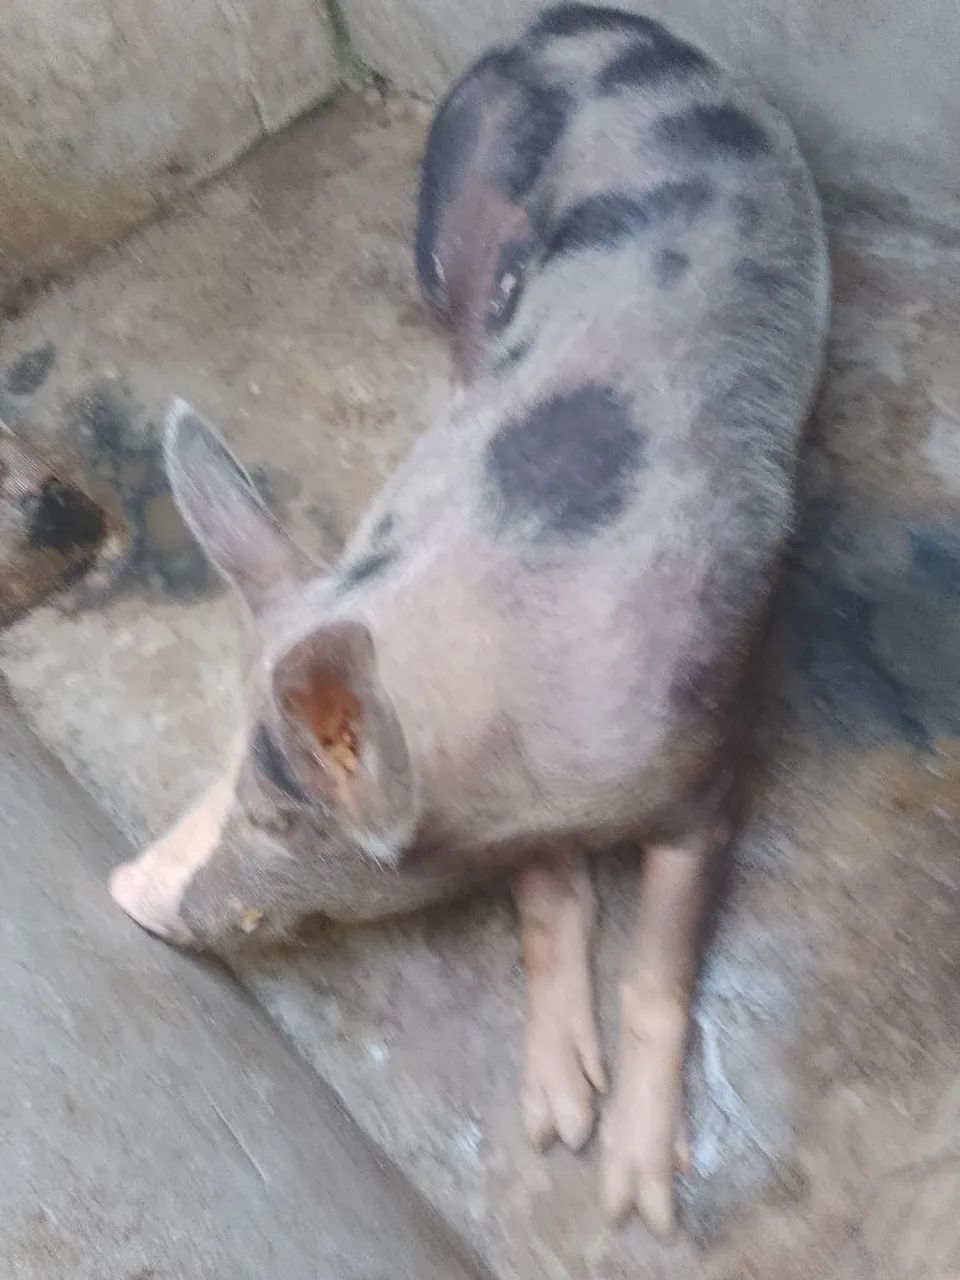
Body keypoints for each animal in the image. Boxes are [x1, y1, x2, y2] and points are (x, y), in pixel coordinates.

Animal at [109, 3, 829, 1235]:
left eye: (280, 817)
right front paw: (555, 1117)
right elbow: (546, 899)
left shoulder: (709, 753)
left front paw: (633, 1198)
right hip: (451, 242)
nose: (125, 890)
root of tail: (561, 24)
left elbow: (659, 962)